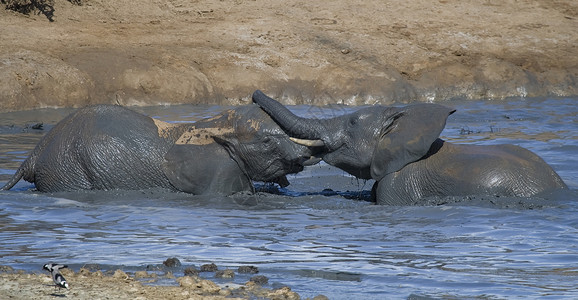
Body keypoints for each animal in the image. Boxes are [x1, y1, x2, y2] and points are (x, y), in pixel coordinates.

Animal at [1, 103, 320, 195]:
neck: (219, 123)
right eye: (266, 142)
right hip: (68, 171)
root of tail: (33, 154)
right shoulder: (219, 172)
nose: (305, 156)